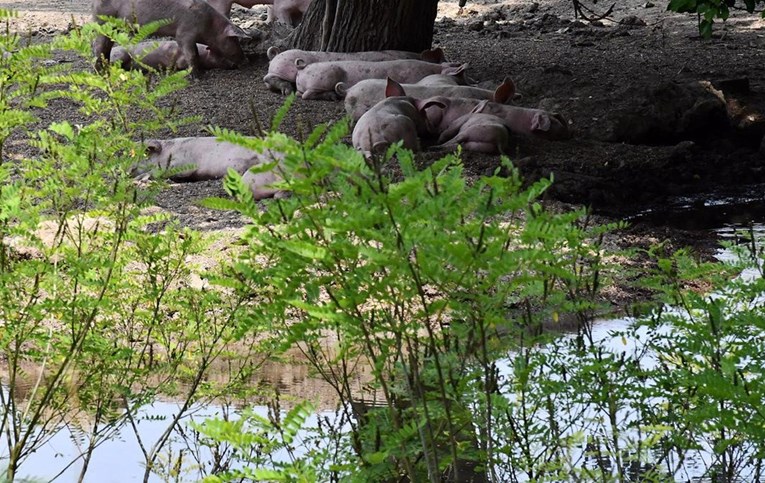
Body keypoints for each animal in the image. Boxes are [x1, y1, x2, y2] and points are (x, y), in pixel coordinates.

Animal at [92, 0, 248, 77]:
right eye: (234, 39)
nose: (243, 59)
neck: (209, 25)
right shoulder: (185, 31)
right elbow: (192, 53)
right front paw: (198, 76)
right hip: (103, 19)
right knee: (98, 45)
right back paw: (102, 72)